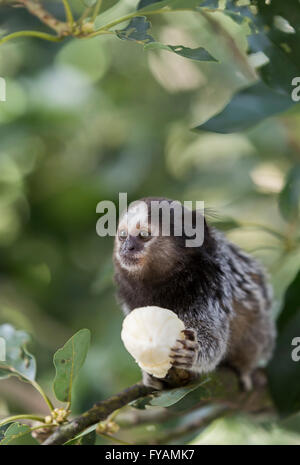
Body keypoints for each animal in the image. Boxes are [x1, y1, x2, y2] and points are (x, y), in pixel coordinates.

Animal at [113, 196, 276, 388]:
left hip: (262, 327)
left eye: (144, 235)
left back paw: (244, 367)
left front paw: (192, 353)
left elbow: (214, 338)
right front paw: (149, 375)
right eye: (123, 235)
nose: (126, 248)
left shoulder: (211, 286)